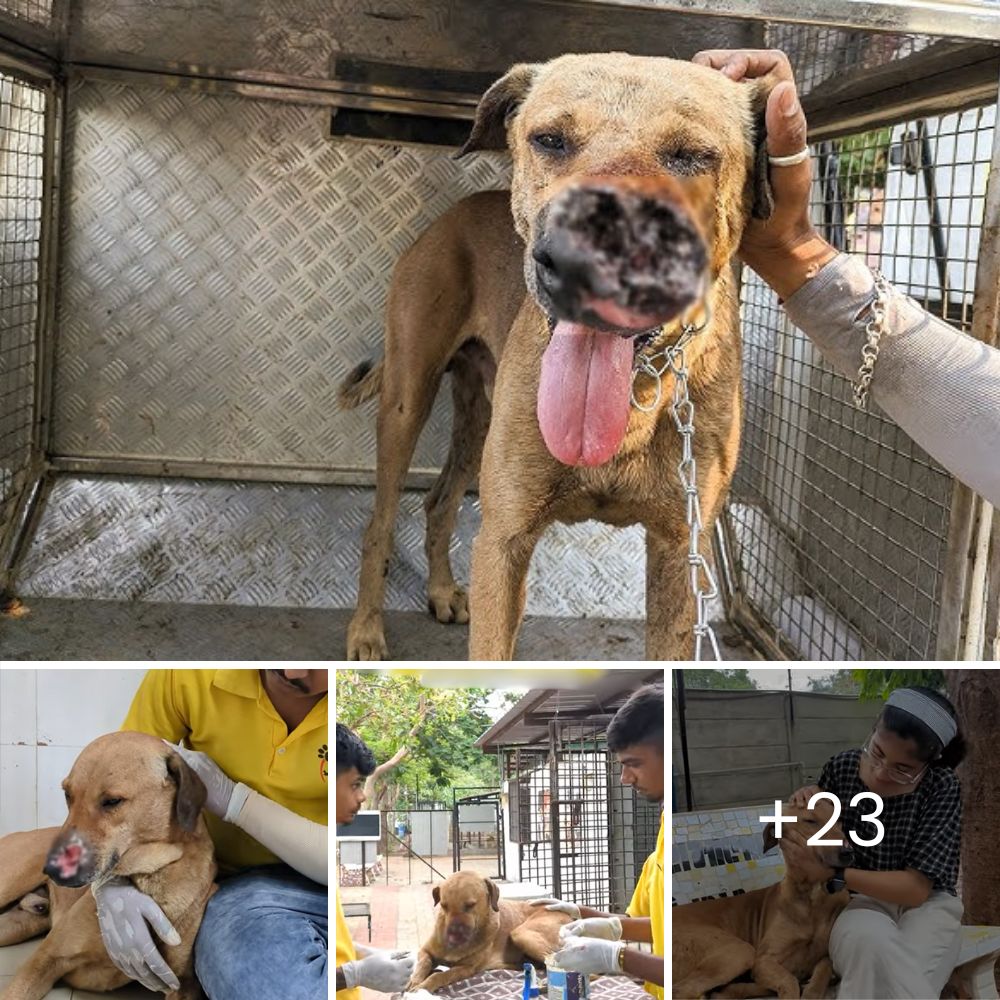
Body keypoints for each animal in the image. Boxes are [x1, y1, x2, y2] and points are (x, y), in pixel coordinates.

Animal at [0, 728, 217, 1000]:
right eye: (67, 795)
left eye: (112, 801)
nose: (50, 870)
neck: (147, 878)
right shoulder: (45, 959)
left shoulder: (184, 985)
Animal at [340, 56, 768, 664]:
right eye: (549, 140)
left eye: (690, 155)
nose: (579, 262)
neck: (635, 395)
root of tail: (453, 213)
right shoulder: (504, 541)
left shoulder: (678, 555)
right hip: (407, 398)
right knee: (378, 521)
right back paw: (366, 630)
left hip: (479, 420)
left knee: (439, 501)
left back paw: (441, 591)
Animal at [406, 868, 572, 992]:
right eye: (444, 906)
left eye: (470, 905)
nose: (451, 937)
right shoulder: (425, 951)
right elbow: (423, 963)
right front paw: (415, 980)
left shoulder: (466, 968)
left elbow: (442, 976)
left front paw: (424, 985)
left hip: (521, 934)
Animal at [672, 796, 852, 1000]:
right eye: (810, 821)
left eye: (840, 822)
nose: (848, 853)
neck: (812, 897)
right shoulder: (764, 961)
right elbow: (788, 981)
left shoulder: (824, 955)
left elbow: (823, 969)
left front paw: (812, 989)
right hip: (738, 950)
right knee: (681, 989)